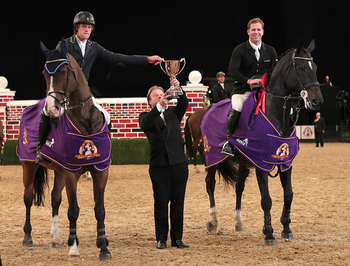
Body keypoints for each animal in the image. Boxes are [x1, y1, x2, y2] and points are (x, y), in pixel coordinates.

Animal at [17, 40, 111, 260]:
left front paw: (104, 248)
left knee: (55, 199)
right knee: (28, 196)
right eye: (44, 73)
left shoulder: (100, 171)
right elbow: (73, 210)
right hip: (29, 166)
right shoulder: (71, 173)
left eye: (63, 72)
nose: (52, 108)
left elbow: (99, 209)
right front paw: (74, 248)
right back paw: (28, 237)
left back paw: (57, 238)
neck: (86, 122)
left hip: (59, 171)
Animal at [198, 39, 324, 245]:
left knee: (239, 188)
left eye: (315, 68)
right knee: (210, 184)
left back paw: (238, 223)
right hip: (212, 158)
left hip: (242, 163)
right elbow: (266, 199)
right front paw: (269, 234)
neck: (277, 115)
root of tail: (208, 110)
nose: (317, 102)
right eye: (301, 67)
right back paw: (213, 221)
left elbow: (288, 195)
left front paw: (286, 230)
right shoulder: (261, 164)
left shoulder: (285, 162)